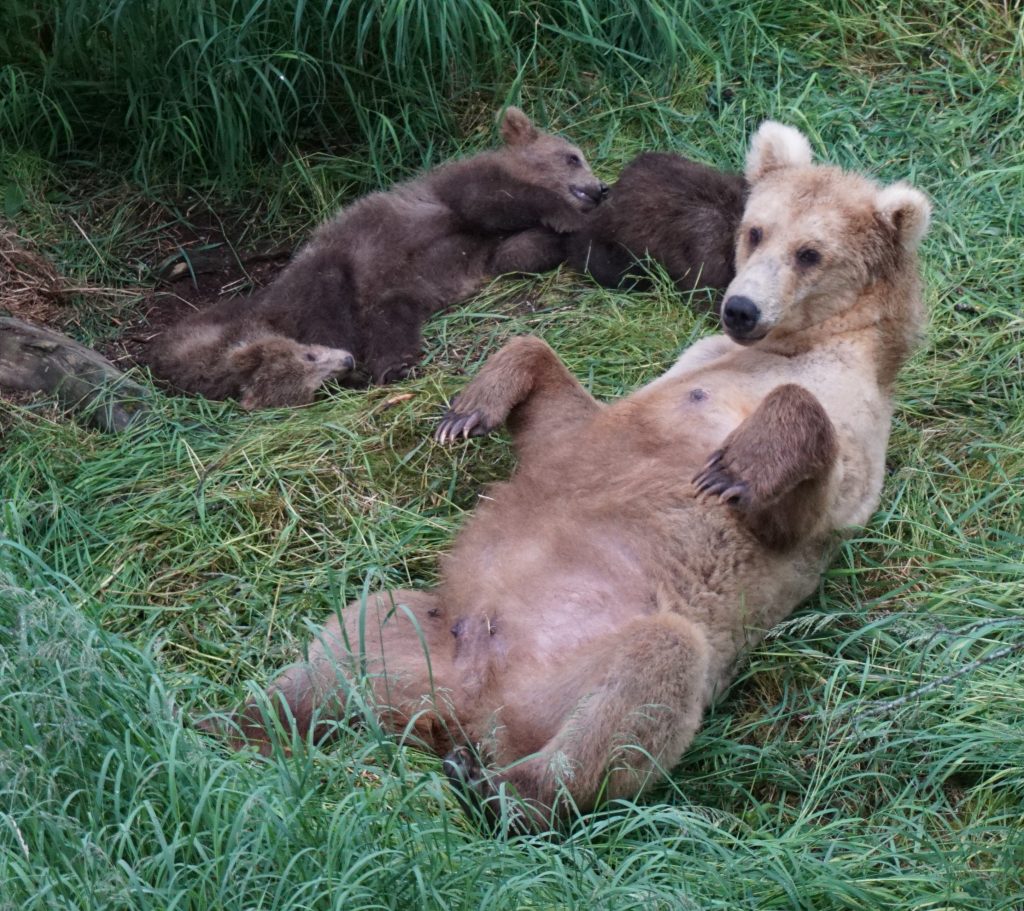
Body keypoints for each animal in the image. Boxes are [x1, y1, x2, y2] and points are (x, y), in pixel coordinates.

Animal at [148, 106, 602, 407]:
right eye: (572, 156)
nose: (599, 188)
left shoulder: (481, 251)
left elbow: (519, 251)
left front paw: (563, 234)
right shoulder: (452, 195)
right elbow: (497, 202)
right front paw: (566, 215)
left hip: (393, 292)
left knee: (389, 322)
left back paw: (392, 366)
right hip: (330, 269)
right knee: (337, 308)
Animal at [199, 118, 929, 822]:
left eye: (810, 252)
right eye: (756, 229)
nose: (740, 308)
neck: (790, 348)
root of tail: (465, 712)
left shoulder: (849, 436)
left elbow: (800, 483)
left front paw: (730, 469)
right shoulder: (666, 381)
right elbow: (558, 403)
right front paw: (467, 411)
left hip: (572, 677)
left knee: (648, 681)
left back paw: (502, 791)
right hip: (424, 634)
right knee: (346, 639)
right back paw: (231, 723)